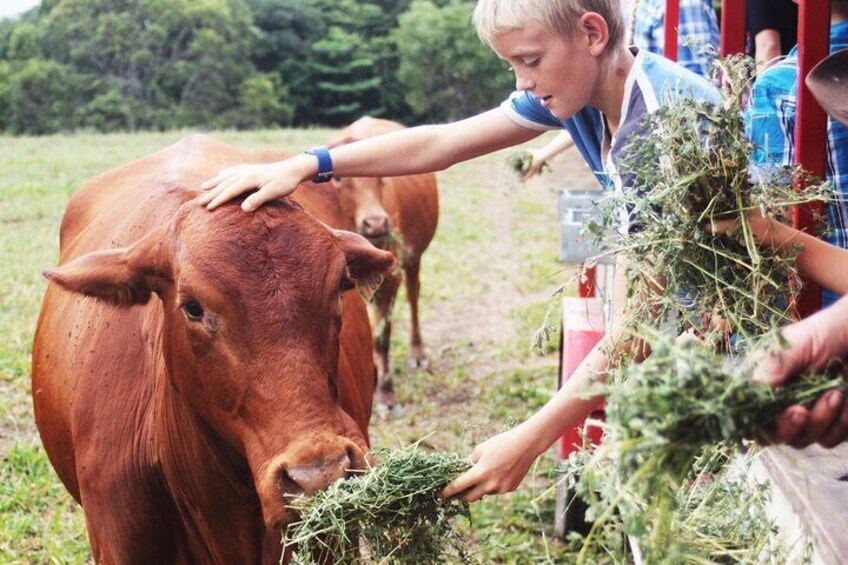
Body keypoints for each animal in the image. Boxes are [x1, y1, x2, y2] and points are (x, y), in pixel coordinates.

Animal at [328, 115, 440, 414]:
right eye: (339, 177)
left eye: (380, 178)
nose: (377, 223)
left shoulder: (391, 275)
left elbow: (381, 337)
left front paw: (386, 393)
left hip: (413, 258)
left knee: (413, 296)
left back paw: (417, 352)